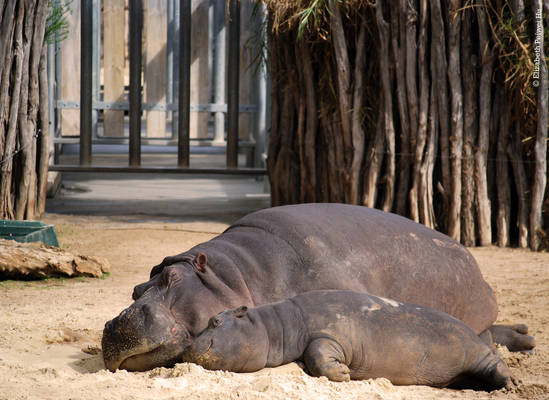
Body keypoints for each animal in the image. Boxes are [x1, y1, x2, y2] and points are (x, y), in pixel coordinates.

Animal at [182, 290, 516, 390]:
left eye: (214, 321)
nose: (186, 346)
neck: (273, 324)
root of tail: (477, 335)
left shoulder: (329, 334)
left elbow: (317, 354)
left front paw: (342, 374)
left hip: (476, 352)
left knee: (495, 362)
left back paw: (511, 384)